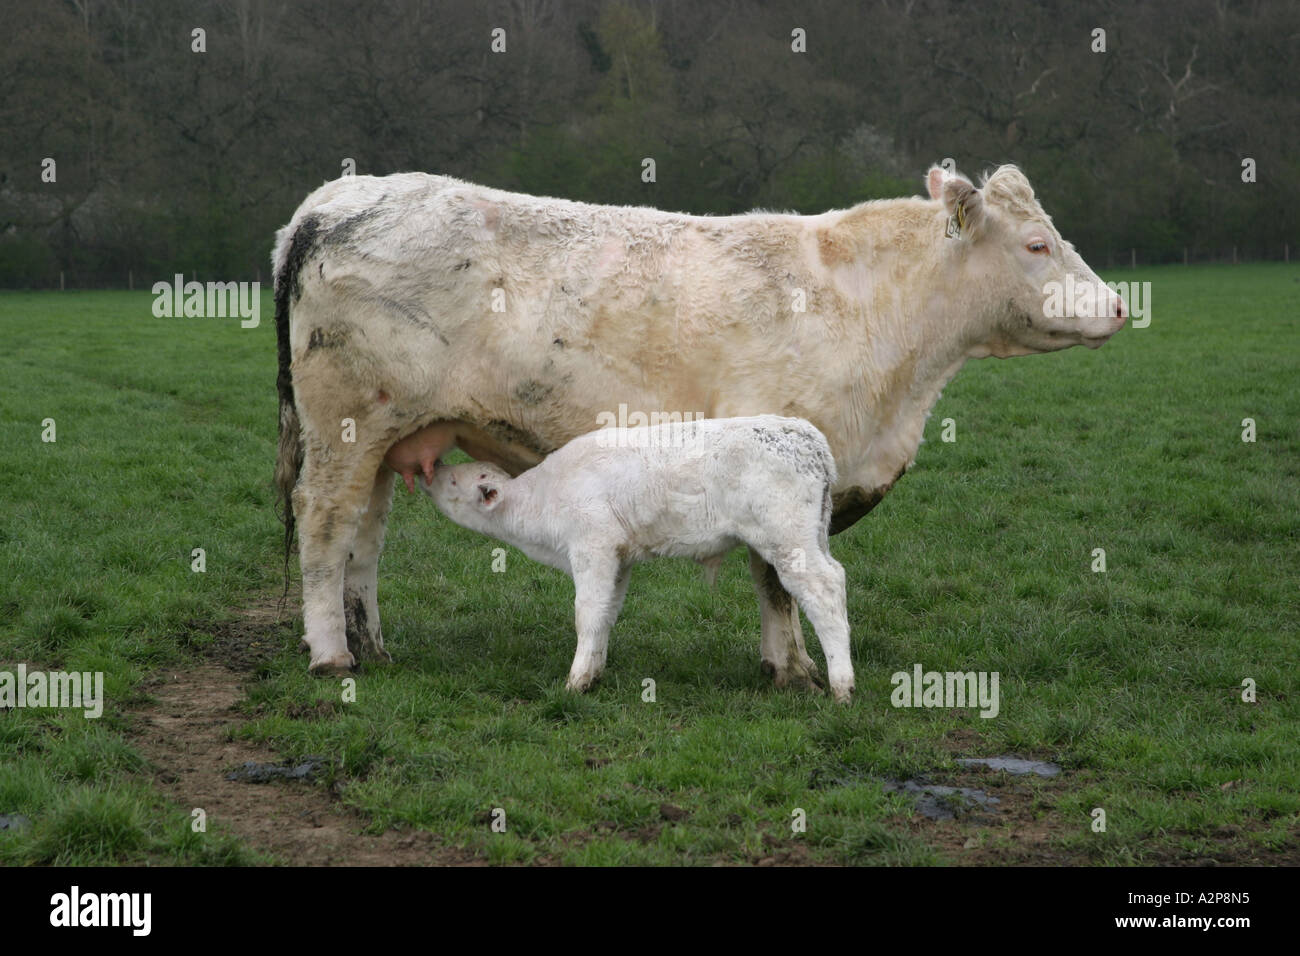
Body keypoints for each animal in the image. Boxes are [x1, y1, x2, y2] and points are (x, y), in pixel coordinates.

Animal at [420, 416, 853, 699]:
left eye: (454, 480)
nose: (432, 467)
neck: (544, 500)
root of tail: (807, 436)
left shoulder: (592, 546)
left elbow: (586, 612)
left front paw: (575, 682)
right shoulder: (618, 556)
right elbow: (606, 613)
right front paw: (594, 672)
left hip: (788, 537)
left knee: (823, 589)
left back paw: (842, 686)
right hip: (813, 533)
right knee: (836, 575)